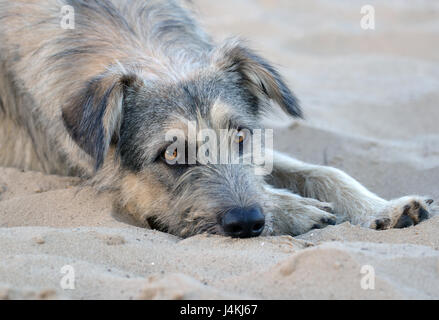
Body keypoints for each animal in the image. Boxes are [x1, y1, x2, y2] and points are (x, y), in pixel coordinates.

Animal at [0, 0, 436, 238]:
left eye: (241, 138)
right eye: (171, 155)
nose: (247, 222)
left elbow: (322, 170)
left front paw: (381, 207)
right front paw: (293, 209)